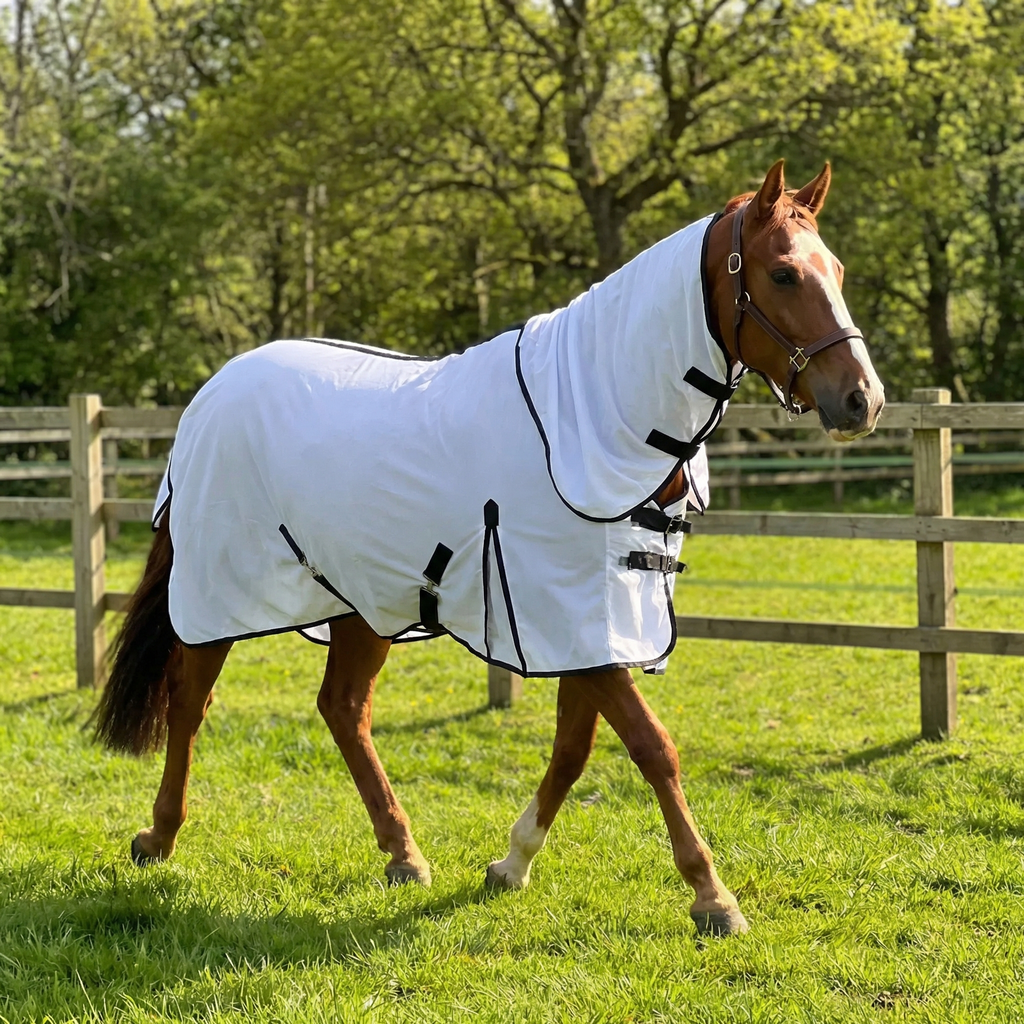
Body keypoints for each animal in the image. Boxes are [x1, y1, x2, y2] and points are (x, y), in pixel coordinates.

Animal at [93, 159, 883, 938]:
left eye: (837, 270)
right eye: (782, 273)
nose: (862, 401)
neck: (596, 414)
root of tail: (211, 395)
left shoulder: (587, 624)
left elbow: (574, 749)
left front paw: (512, 863)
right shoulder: (568, 625)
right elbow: (652, 747)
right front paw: (712, 896)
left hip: (364, 602)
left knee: (343, 709)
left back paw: (403, 854)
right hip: (218, 592)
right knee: (190, 702)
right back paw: (159, 837)